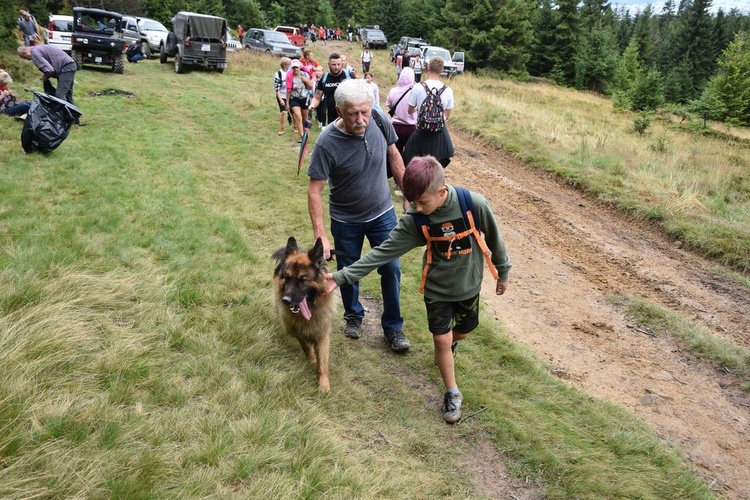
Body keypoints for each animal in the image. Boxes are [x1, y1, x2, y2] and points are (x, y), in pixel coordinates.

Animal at [274, 236, 334, 392]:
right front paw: (311, 357)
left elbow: (323, 360)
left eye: (303, 279)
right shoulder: (294, 328)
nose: (286, 300)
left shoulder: (322, 333)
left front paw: (324, 383)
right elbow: (305, 344)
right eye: (287, 277)